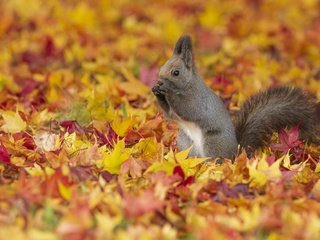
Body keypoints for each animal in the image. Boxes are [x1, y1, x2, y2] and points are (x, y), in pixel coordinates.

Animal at [152, 35, 320, 159]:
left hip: (213, 142)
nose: (159, 82)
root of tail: (236, 154)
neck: (187, 86)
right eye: (161, 68)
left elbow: (187, 109)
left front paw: (166, 90)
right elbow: (170, 114)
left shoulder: (197, 100)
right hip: (186, 143)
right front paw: (156, 91)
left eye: (176, 72)